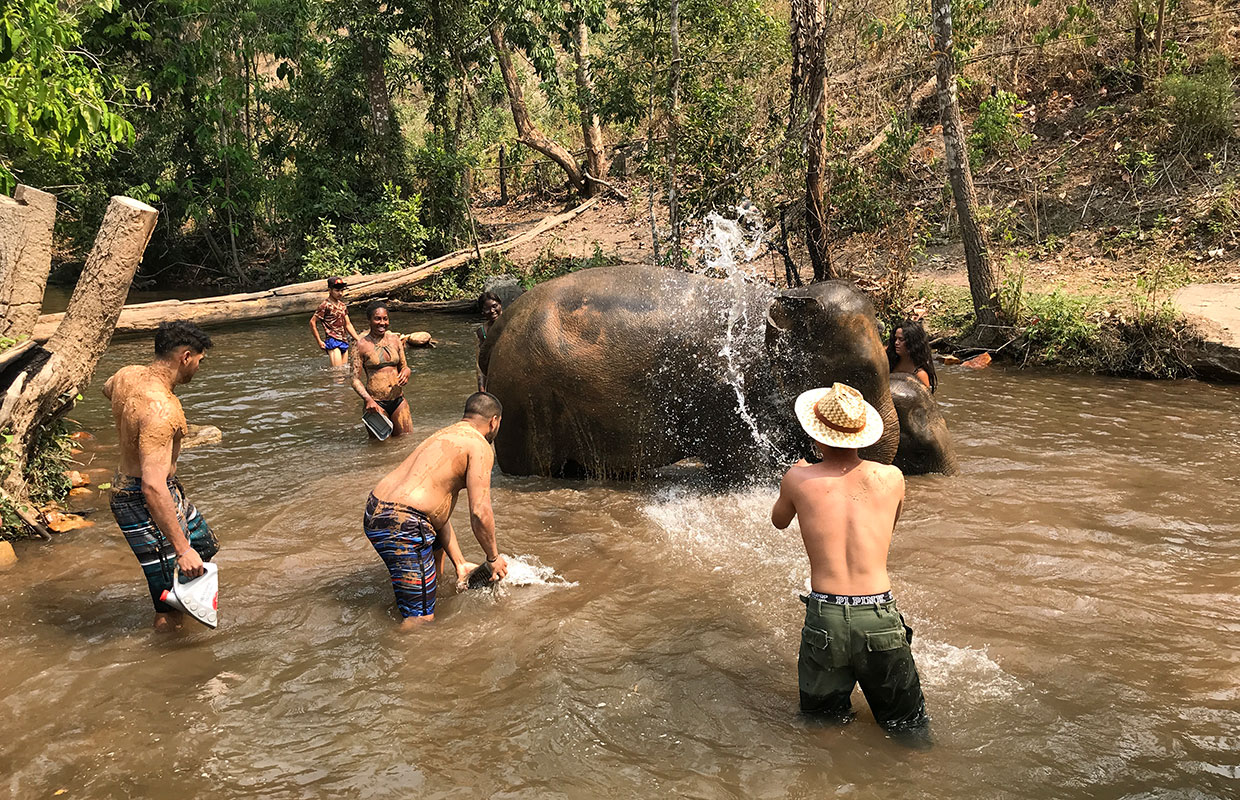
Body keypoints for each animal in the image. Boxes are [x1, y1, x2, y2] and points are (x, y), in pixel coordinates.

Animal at [473, 265, 932, 481]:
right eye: (855, 373)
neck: (783, 297)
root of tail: (496, 331)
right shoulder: (728, 392)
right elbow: (744, 465)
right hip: (524, 403)